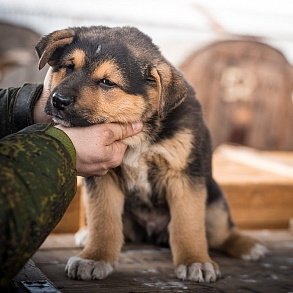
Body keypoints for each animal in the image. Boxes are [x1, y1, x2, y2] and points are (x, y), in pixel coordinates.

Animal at [34, 26, 266, 282]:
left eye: (107, 83)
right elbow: (104, 221)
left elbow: (188, 223)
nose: (58, 101)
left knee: (221, 234)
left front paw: (195, 261)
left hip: (215, 204)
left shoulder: (183, 176)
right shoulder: (103, 176)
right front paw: (94, 258)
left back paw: (248, 246)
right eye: (68, 66)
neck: (139, 136)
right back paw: (87, 234)